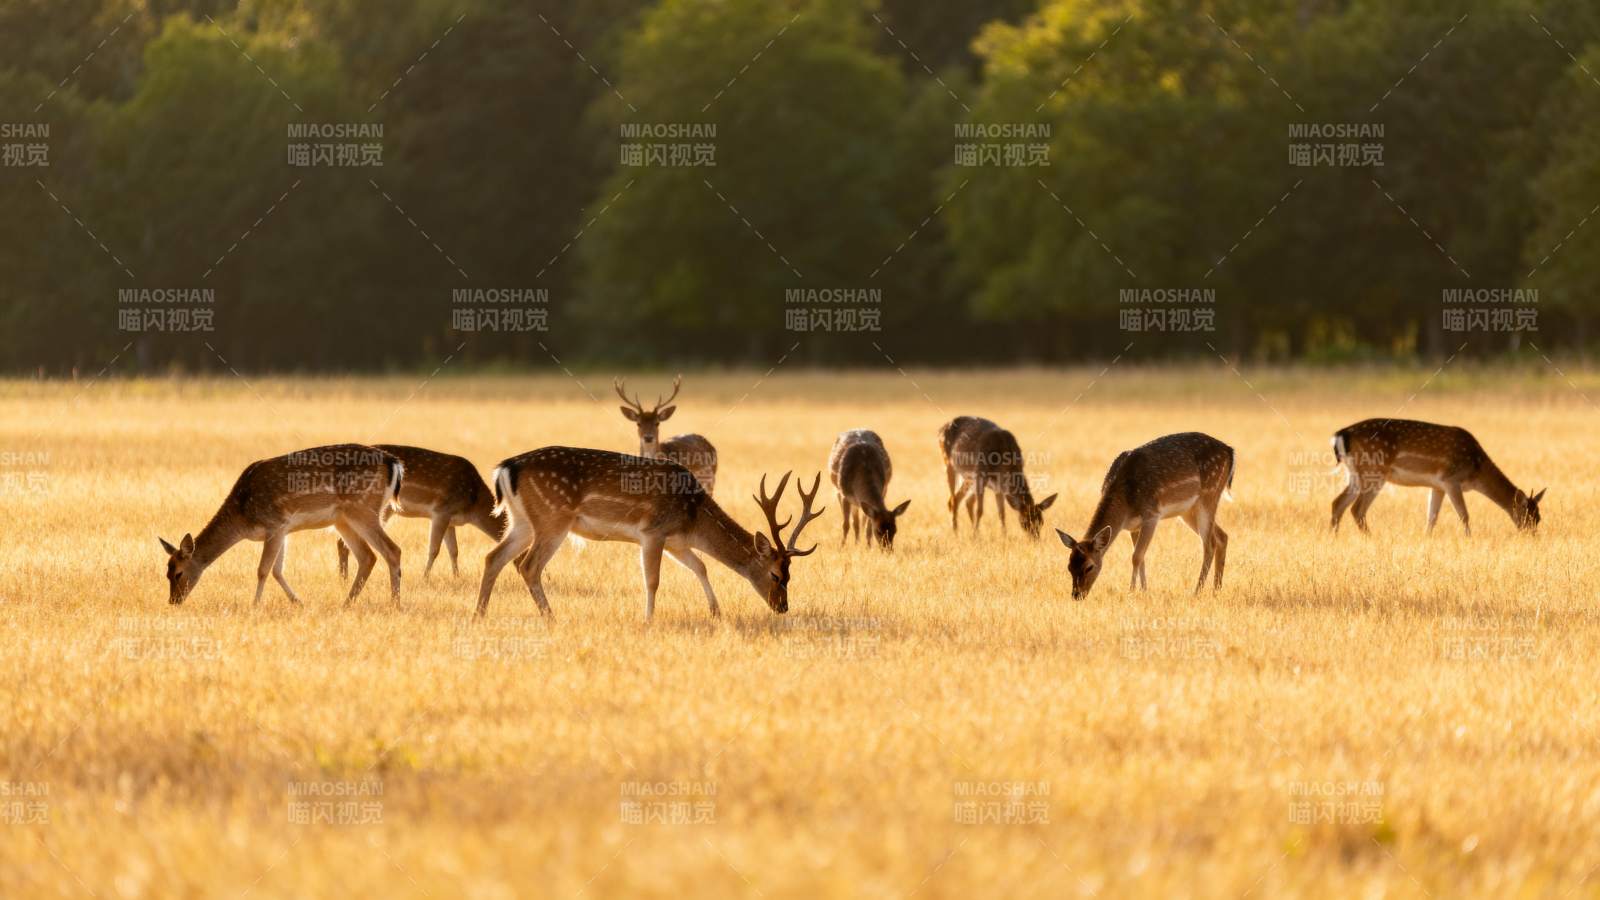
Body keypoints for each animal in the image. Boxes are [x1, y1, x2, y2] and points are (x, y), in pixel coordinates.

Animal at [160, 444, 404, 606]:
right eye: (166, 573)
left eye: (178, 573)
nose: (173, 601)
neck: (242, 516)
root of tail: (393, 463)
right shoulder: (283, 529)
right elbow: (277, 570)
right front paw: (298, 602)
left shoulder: (274, 524)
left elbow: (263, 570)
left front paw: (255, 606)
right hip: (343, 519)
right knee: (368, 556)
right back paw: (346, 604)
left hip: (362, 508)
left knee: (392, 550)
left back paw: (394, 604)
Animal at [336, 444, 507, 579]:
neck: (473, 505)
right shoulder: (441, 511)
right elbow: (434, 550)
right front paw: (424, 578)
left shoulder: (450, 520)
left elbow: (454, 550)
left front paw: (456, 577)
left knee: (342, 542)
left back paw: (343, 578)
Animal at [476, 446, 824, 620]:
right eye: (776, 575)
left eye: (791, 575)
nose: (782, 607)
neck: (693, 518)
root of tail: (506, 468)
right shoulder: (653, 532)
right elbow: (652, 580)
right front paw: (648, 620)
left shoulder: (676, 542)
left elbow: (701, 566)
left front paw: (716, 612)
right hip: (553, 517)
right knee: (528, 565)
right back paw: (551, 616)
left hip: (521, 520)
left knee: (494, 557)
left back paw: (479, 614)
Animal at [1055, 432, 1234, 599]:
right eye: (1069, 566)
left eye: (1089, 567)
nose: (1077, 595)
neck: (1126, 504)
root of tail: (1230, 451)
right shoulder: (1133, 526)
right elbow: (1141, 557)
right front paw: (1144, 591)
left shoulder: (1152, 514)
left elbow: (1136, 556)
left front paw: (1131, 591)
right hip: (1188, 511)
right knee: (1222, 536)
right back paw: (1216, 589)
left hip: (1209, 495)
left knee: (1209, 543)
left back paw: (1197, 591)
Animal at [1330, 418, 1544, 536]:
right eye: (1527, 517)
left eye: (1539, 518)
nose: (1532, 536)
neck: (1476, 470)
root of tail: (1340, 435)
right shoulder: (1451, 479)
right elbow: (1464, 515)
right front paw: (1469, 539)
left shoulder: (1437, 485)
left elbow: (1431, 517)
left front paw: (1426, 538)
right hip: (1374, 470)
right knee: (1357, 509)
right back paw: (1370, 537)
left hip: (1355, 474)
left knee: (1337, 502)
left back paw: (1334, 538)